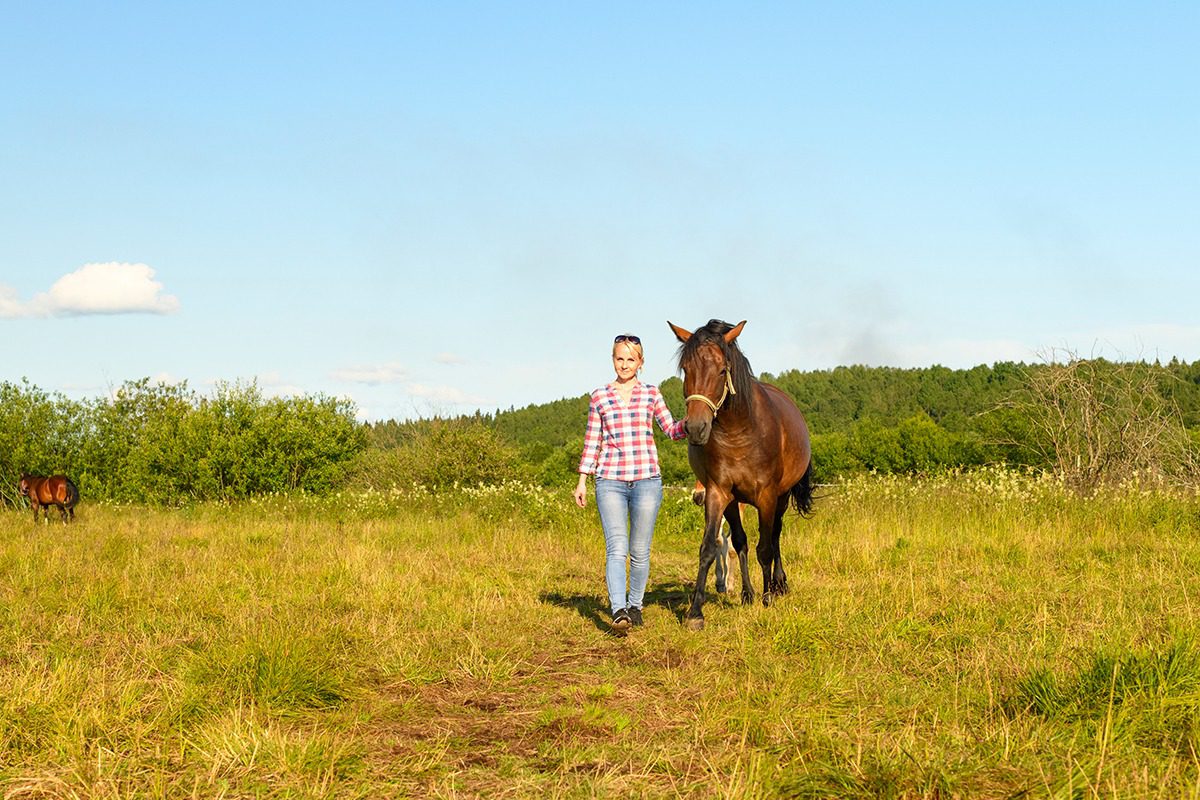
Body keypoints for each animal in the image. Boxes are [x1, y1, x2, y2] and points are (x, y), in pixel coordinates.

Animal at [669, 319, 813, 630]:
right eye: (686, 368)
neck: (739, 433)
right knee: (740, 542)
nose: (696, 428)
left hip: (781, 498)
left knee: (776, 536)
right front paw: (697, 612)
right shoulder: (719, 494)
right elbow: (714, 547)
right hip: (735, 503)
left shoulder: (766, 497)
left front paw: (768, 597)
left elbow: (765, 548)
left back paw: (779, 585)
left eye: (722, 370)